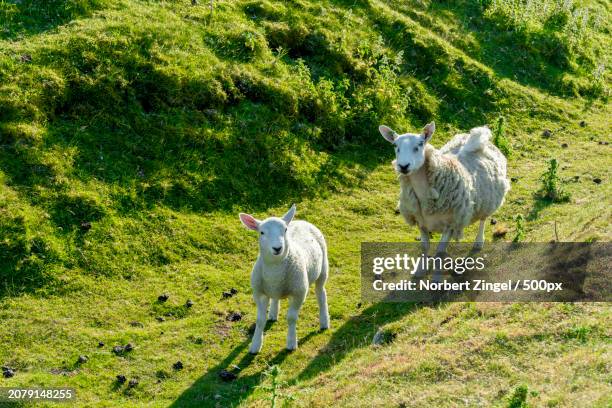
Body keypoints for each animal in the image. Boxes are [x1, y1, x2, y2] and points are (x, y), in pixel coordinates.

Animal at [238, 204, 330, 354]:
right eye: (262, 232)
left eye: (285, 230)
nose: (277, 248)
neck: (275, 270)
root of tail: (302, 221)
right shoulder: (259, 293)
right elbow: (260, 320)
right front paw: (255, 345)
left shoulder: (299, 293)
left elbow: (291, 318)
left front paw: (291, 342)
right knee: (275, 298)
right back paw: (273, 314)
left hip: (323, 270)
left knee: (321, 294)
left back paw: (324, 322)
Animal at [380, 120, 510, 274]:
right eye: (395, 146)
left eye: (420, 144)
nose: (403, 166)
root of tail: (474, 136)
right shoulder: (421, 221)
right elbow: (424, 247)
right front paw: (420, 270)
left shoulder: (450, 223)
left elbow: (440, 251)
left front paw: (436, 276)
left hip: (488, 200)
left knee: (483, 220)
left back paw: (479, 241)